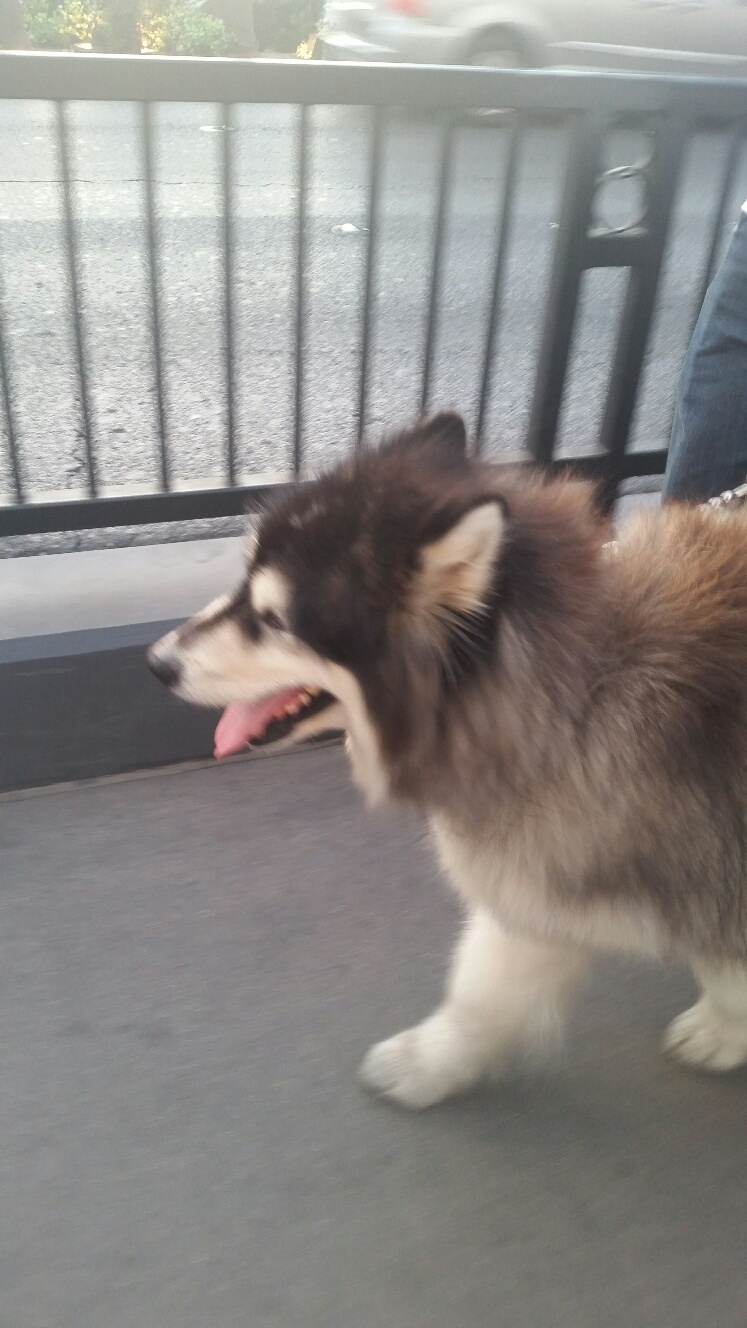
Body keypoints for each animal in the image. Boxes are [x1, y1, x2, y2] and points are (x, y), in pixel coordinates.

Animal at [148, 414, 744, 1110]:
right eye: (243, 585)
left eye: (273, 621)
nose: (155, 663)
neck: (584, 693)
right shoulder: (546, 876)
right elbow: (485, 992)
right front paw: (429, 1064)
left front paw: (725, 1028)